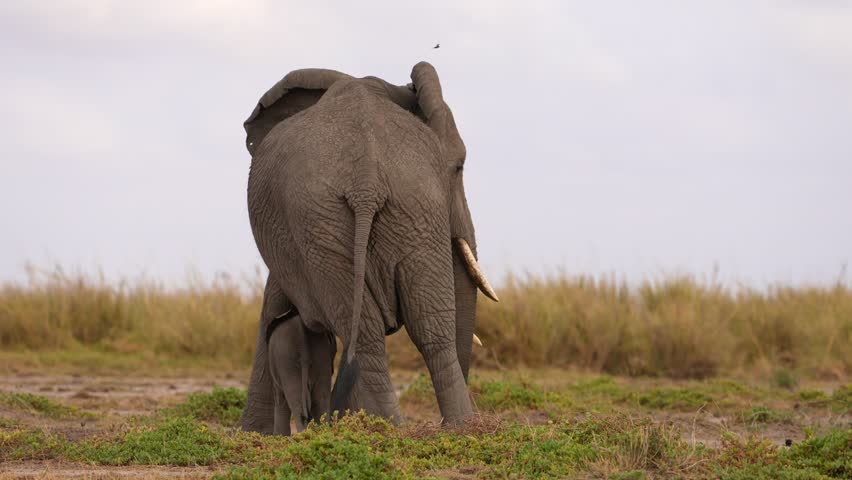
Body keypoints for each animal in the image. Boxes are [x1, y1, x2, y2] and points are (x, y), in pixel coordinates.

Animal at [237, 61, 499, 433]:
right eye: (459, 167)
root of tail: (366, 178)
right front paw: (253, 433)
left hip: (368, 212)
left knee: (395, 330)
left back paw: (395, 430)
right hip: (358, 215)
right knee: (421, 326)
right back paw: (430, 430)